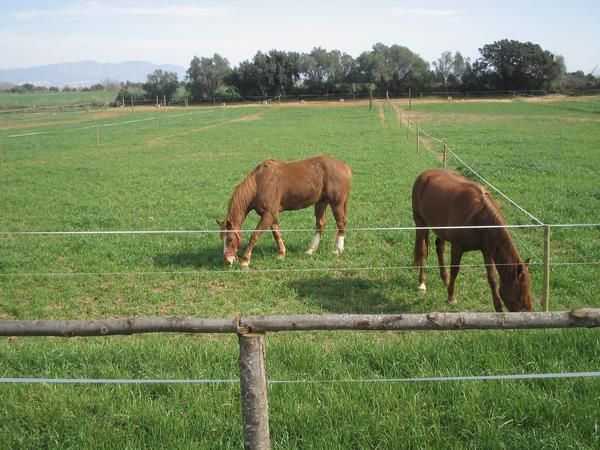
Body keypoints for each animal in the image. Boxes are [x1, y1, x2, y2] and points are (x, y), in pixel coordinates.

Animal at [218, 155, 352, 268]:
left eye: (230, 239)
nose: (227, 261)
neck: (259, 182)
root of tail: (344, 166)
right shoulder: (271, 216)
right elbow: (277, 234)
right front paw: (281, 254)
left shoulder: (268, 215)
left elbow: (255, 236)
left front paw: (245, 260)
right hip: (321, 202)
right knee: (320, 225)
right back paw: (311, 250)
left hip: (336, 203)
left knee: (341, 223)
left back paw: (338, 249)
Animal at [410, 167, 532, 312]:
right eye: (519, 293)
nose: (528, 312)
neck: (478, 216)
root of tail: (424, 174)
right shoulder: (457, 247)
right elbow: (455, 270)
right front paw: (451, 297)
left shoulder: (487, 250)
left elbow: (492, 278)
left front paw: (498, 308)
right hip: (420, 223)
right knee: (422, 251)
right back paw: (422, 283)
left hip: (440, 230)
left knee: (439, 248)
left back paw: (445, 280)